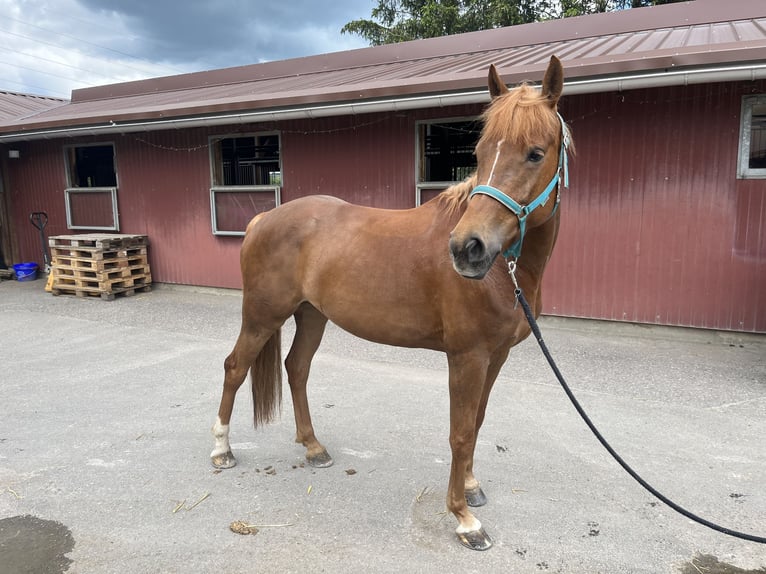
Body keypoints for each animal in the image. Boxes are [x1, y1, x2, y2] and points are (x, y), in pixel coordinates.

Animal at [210, 56, 568, 552]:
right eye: (479, 154)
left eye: (535, 152)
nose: (467, 249)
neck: (504, 272)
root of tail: (264, 218)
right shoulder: (467, 357)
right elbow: (460, 432)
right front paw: (464, 519)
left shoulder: (494, 357)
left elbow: (477, 421)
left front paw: (472, 488)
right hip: (262, 315)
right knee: (235, 367)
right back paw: (221, 450)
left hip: (312, 315)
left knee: (296, 368)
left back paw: (313, 448)